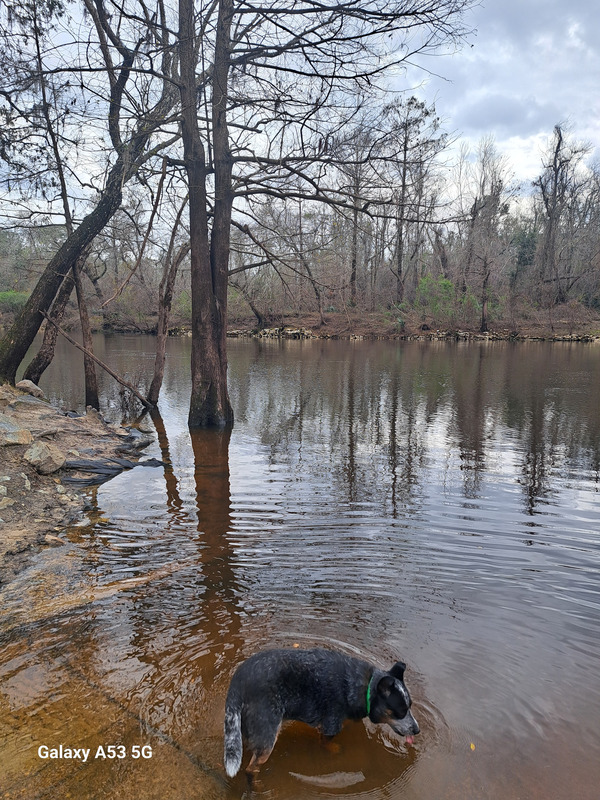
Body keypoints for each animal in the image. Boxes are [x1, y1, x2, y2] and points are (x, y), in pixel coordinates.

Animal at [223, 648, 420, 780]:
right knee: (251, 769)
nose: (417, 730)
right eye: (401, 711)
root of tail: (238, 680)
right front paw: (334, 749)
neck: (365, 687)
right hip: (267, 734)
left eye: (410, 705)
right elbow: (326, 743)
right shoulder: (330, 724)